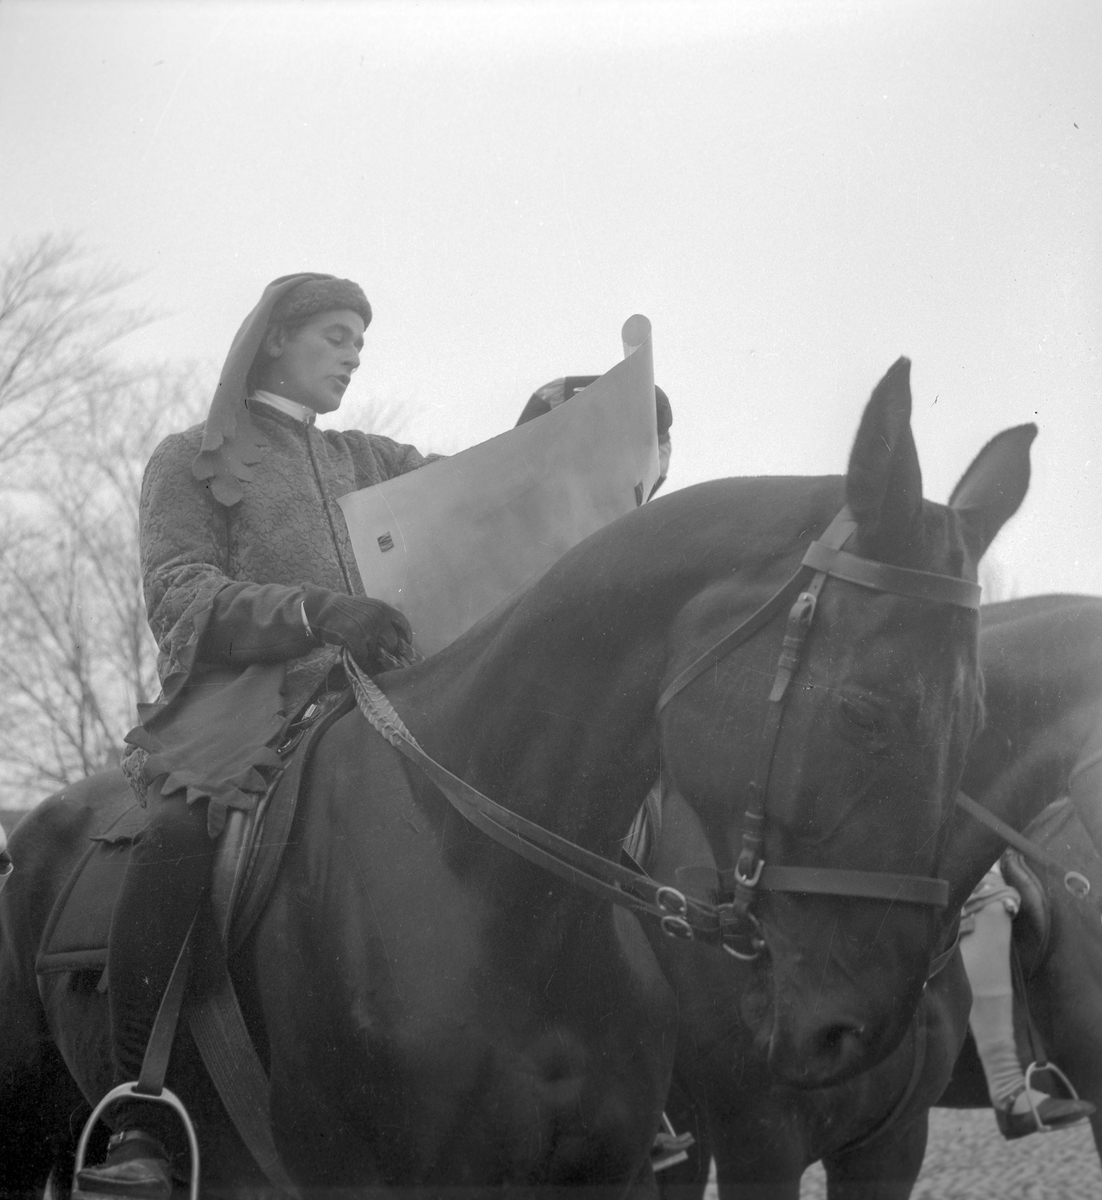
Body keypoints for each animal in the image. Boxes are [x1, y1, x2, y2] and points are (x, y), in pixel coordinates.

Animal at [0, 358, 1030, 1197]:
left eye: (981, 720)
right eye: (864, 709)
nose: (857, 1028)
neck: (488, 890)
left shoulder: (650, 1170)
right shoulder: (755, 1140)